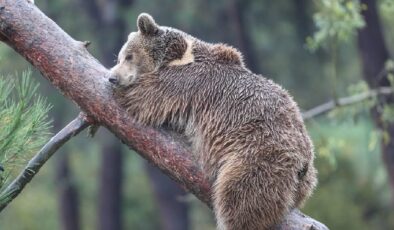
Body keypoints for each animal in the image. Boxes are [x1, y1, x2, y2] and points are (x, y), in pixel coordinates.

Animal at [109, 13, 318, 230]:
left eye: (129, 56)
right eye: (120, 56)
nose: (113, 78)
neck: (179, 55)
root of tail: (303, 162)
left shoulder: (185, 82)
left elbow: (144, 95)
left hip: (259, 155)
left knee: (239, 198)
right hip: (303, 179)